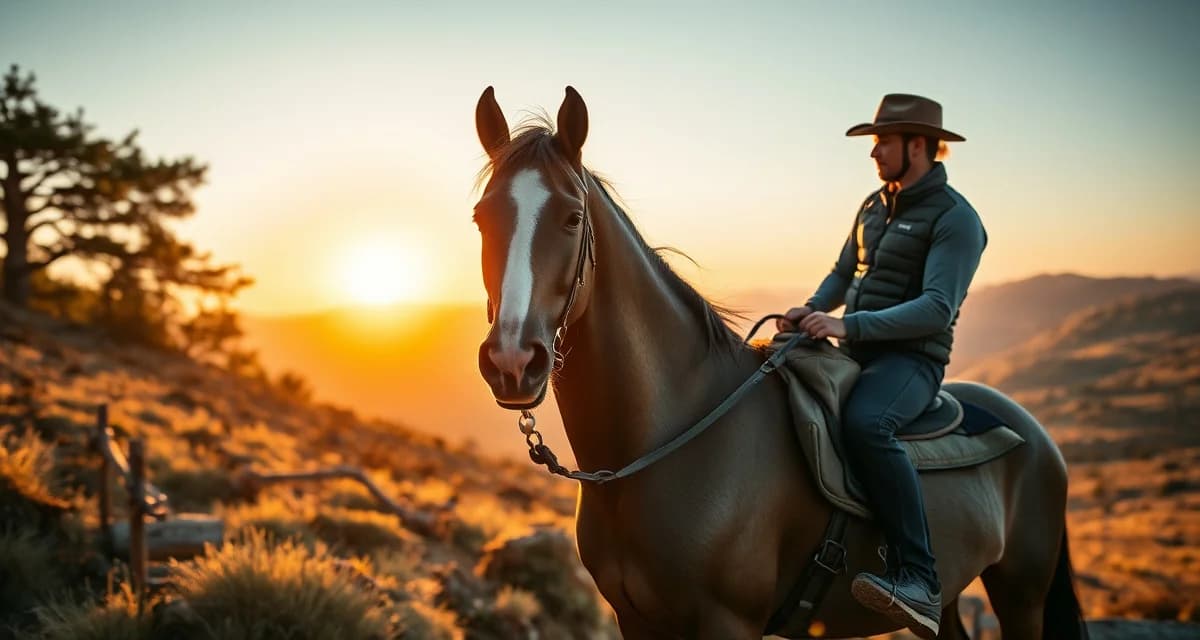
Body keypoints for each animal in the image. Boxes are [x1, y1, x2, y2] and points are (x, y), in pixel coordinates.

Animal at [471, 85, 1088, 639]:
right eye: (480, 217)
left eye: (572, 218)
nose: (513, 359)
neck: (660, 446)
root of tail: (1039, 437)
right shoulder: (636, 619)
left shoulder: (728, 622)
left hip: (1021, 595)